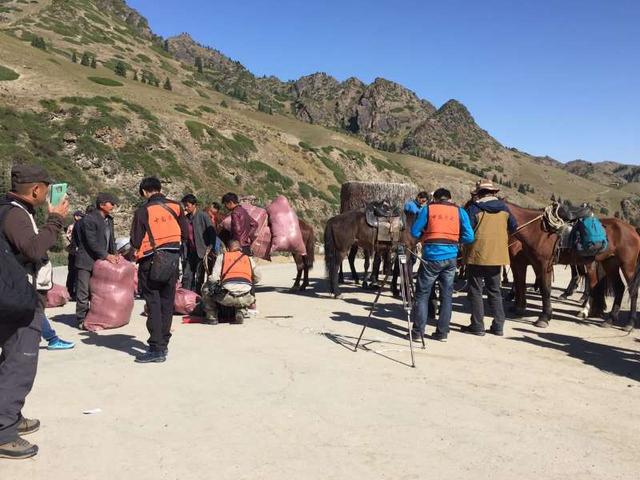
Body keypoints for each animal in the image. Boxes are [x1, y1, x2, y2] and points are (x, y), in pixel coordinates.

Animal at [504, 202, 640, 330]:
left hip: (627, 265)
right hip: (610, 263)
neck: (536, 230)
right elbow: (521, 283)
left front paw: (544, 317)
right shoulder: (531, 264)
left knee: (632, 290)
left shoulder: (543, 264)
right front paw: (519, 307)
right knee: (618, 287)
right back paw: (609, 319)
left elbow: (545, 289)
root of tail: (633, 230)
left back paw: (630, 322)